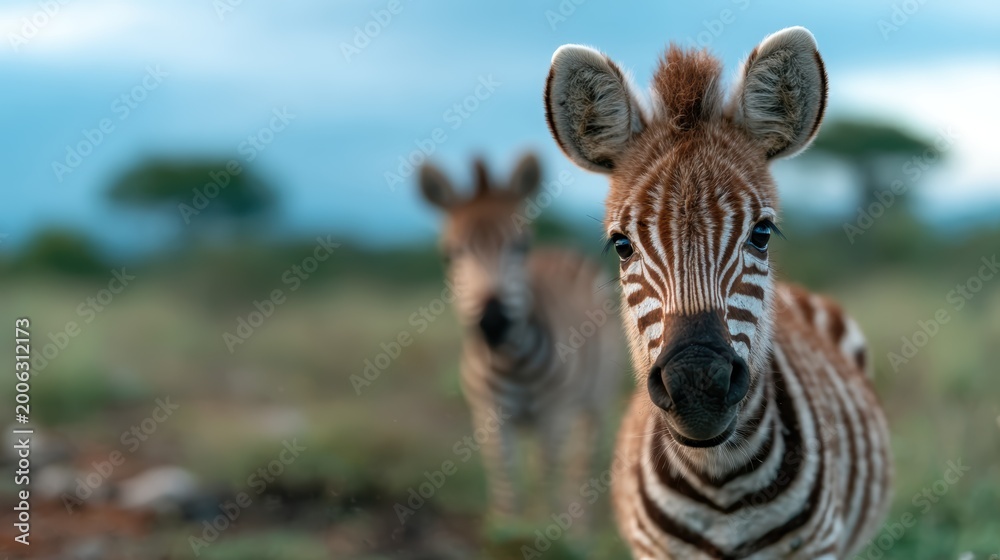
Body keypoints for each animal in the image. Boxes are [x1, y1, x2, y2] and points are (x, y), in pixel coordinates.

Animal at [418, 154, 624, 524]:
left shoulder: (556, 412)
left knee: (580, 467)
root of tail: (559, 250)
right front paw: (507, 528)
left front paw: (544, 529)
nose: (494, 322)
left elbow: (546, 479)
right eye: (449, 254)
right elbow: (506, 484)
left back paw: (579, 527)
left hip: (597, 396)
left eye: (521, 246)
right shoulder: (489, 416)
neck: (511, 363)